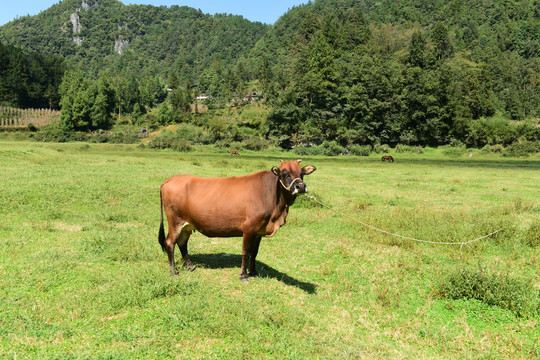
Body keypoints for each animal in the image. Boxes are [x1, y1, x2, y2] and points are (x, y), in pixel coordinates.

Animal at [156, 160, 316, 282]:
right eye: (285, 173)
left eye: (302, 173)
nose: (301, 186)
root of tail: (171, 179)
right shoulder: (249, 227)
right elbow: (246, 252)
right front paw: (244, 275)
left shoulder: (259, 230)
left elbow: (255, 252)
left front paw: (254, 272)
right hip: (175, 221)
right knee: (170, 243)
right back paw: (173, 271)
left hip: (187, 225)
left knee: (182, 243)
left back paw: (190, 266)